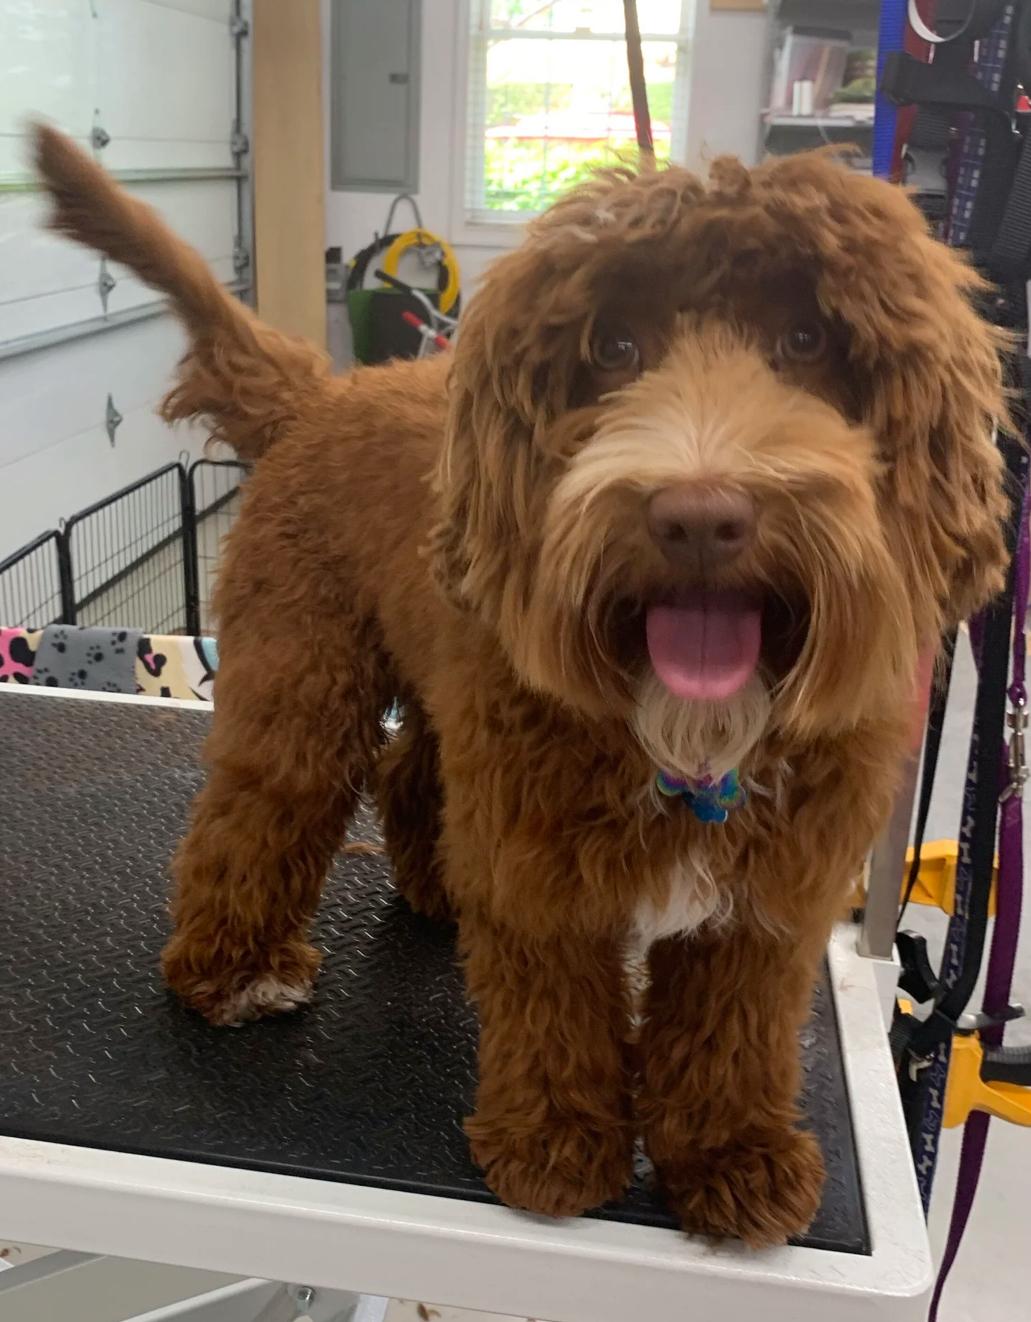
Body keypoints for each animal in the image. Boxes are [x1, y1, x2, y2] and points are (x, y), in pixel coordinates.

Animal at [33, 124, 1009, 1246]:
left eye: (808, 339)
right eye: (613, 349)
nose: (699, 514)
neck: (685, 732)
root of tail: (323, 392)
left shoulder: (771, 888)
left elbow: (735, 1025)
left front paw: (730, 1153)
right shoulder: (539, 856)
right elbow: (554, 1004)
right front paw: (555, 1144)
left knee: (411, 773)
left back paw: (432, 889)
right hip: (304, 674)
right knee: (267, 802)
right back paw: (234, 971)